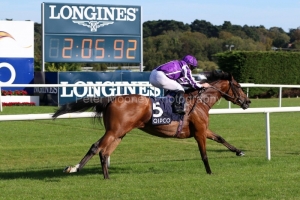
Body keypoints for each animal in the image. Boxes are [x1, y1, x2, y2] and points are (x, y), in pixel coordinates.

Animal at [52, 70, 250, 178]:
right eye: (239, 86)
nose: (248, 102)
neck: (200, 101)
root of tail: (111, 98)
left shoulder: (202, 129)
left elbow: (220, 138)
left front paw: (239, 151)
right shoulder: (199, 132)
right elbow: (204, 154)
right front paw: (209, 172)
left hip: (120, 133)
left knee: (104, 152)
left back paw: (106, 177)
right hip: (115, 130)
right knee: (96, 147)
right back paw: (74, 168)